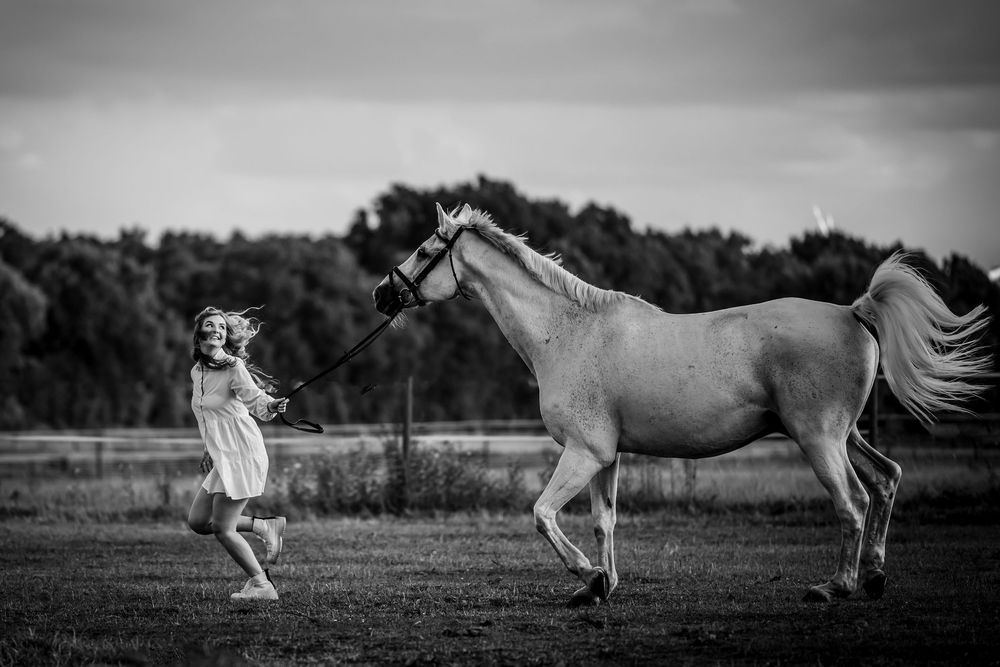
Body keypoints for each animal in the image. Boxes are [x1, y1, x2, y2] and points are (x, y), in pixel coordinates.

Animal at [372, 203, 993, 606]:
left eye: (426, 250)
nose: (382, 293)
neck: (568, 333)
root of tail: (853, 310)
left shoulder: (582, 453)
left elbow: (543, 514)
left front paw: (586, 577)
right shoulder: (605, 457)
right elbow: (603, 521)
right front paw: (602, 585)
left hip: (820, 439)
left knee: (854, 501)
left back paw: (835, 587)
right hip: (847, 435)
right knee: (887, 481)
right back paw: (875, 577)